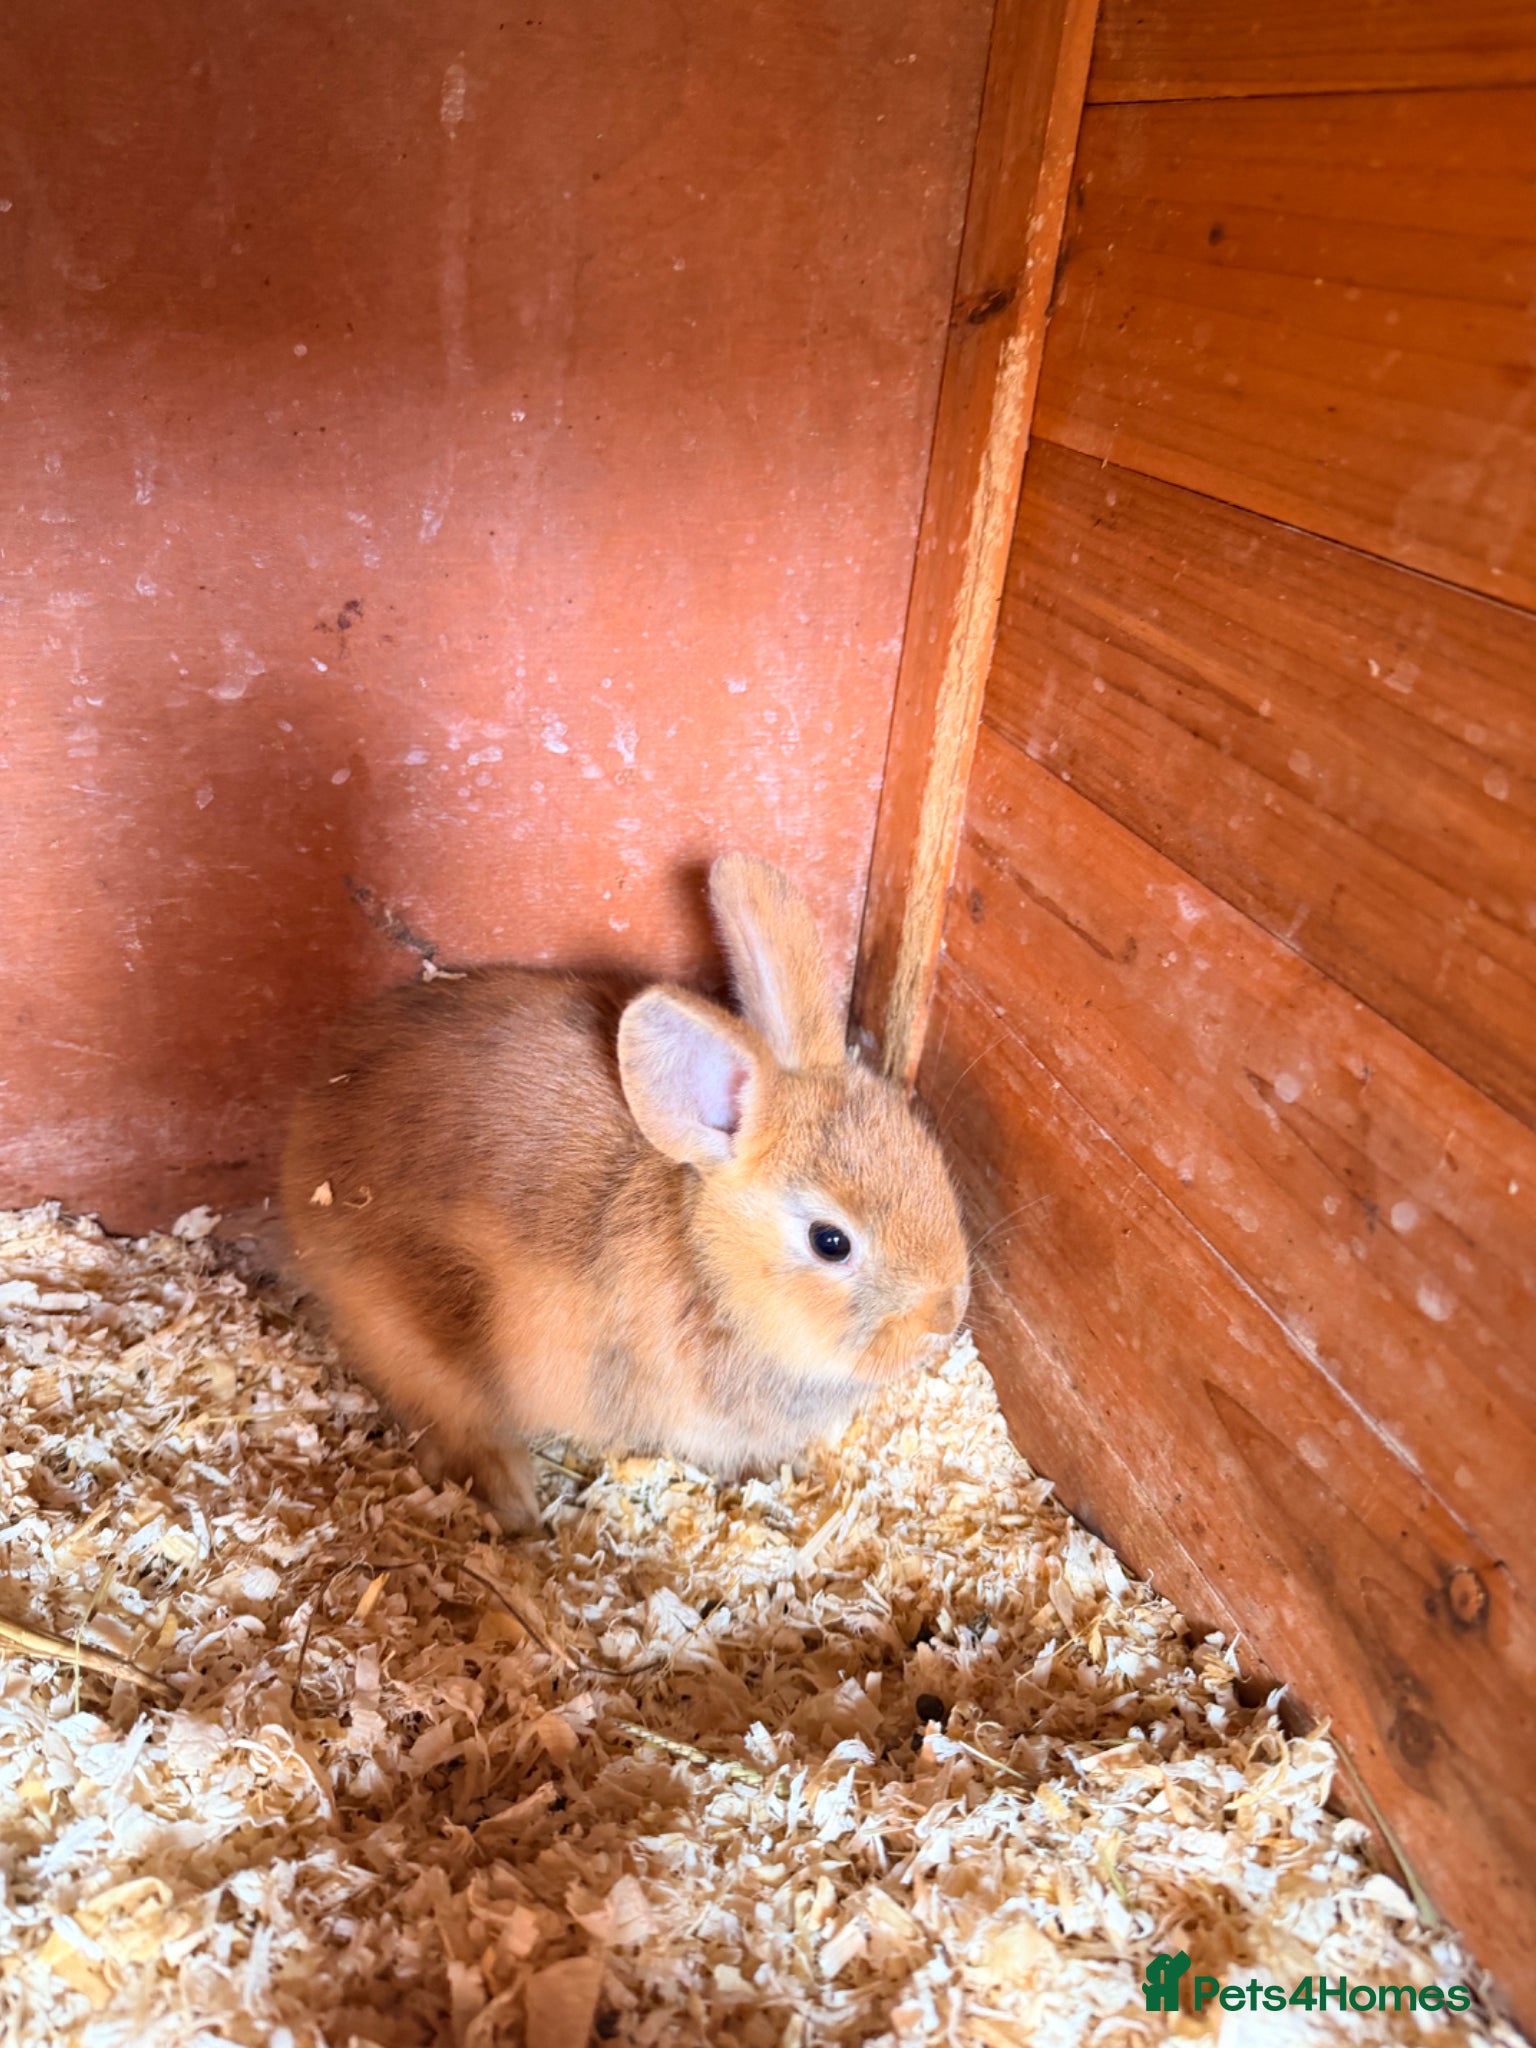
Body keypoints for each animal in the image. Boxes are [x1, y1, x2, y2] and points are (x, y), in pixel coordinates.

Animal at [281, 853, 970, 1532]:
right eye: (830, 1243)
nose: (944, 1319)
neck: (707, 1268)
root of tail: (303, 1146)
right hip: (424, 1340)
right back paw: (515, 1503)